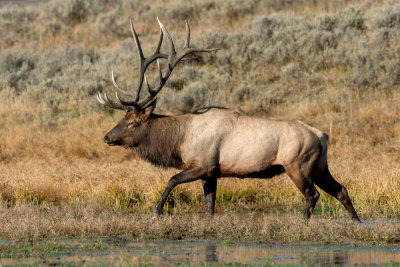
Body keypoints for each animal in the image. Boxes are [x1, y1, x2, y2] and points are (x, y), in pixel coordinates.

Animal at [98, 18, 360, 223]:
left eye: (132, 122)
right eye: (122, 118)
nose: (108, 137)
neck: (179, 140)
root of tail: (323, 136)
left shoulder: (203, 164)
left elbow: (172, 179)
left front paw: (156, 211)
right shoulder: (212, 172)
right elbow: (209, 206)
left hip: (298, 165)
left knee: (312, 195)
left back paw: (303, 223)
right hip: (320, 166)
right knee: (341, 190)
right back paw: (357, 222)